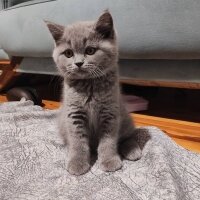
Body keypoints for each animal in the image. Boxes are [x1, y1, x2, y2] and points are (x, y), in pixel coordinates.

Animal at [46, 10, 141, 175]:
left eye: (90, 50)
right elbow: (77, 142)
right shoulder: (74, 113)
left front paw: (109, 161)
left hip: (125, 117)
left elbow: (108, 141)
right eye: (68, 53)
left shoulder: (110, 112)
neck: (89, 85)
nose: (78, 63)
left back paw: (132, 149)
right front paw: (77, 162)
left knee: (127, 136)